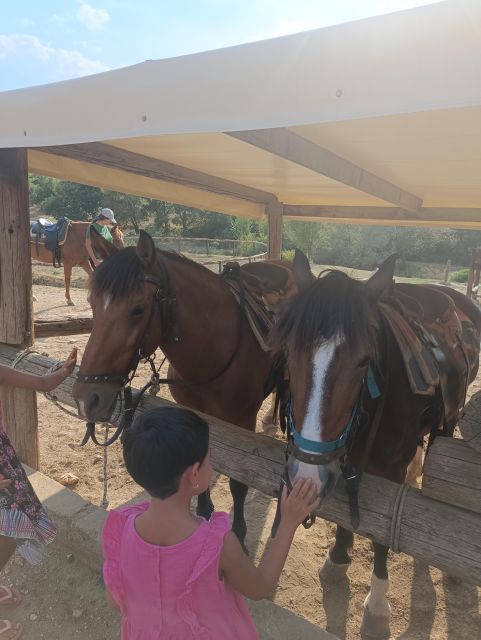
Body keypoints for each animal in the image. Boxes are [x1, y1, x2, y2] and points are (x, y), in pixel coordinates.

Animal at [71, 230, 282, 544]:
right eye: (93, 303)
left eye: (138, 309)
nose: (87, 399)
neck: (214, 355)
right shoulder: (195, 414)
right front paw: (205, 511)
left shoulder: (243, 421)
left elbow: (239, 483)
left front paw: (239, 532)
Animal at [270, 251, 480, 640]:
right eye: (289, 353)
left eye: (365, 361)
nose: (306, 475)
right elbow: (343, 517)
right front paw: (338, 558)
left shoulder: (391, 470)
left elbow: (383, 533)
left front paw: (377, 607)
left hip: (449, 420)